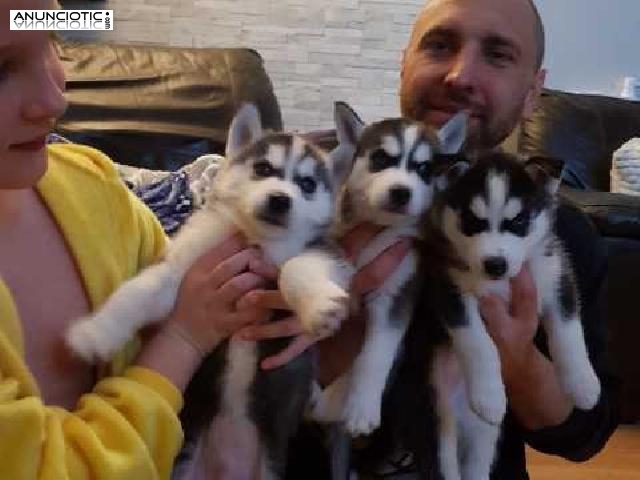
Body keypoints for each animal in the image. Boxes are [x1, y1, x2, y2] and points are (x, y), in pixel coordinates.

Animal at [66, 104, 356, 476]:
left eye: (307, 184)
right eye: (263, 169)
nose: (280, 200)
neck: (255, 239)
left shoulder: (329, 255)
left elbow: (296, 267)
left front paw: (320, 308)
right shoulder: (183, 267)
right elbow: (142, 289)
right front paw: (95, 333)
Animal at [312, 102, 468, 438]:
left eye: (425, 169)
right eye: (381, 159)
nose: (401, 192)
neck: (378, 231)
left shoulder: (395, 293)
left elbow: (375, 355)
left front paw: (362, 409)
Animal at [422, 151, 604, 480]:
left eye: (518, 221)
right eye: (473, 221)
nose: (495, 264)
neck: (501, 283)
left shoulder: (557, 277)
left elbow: (569, 332)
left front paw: (583, 384)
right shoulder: (449, 289)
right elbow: (478, 343)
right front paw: (488, 394)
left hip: (486, 435)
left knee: (478, 462)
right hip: (439, 417)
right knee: (446, 460)